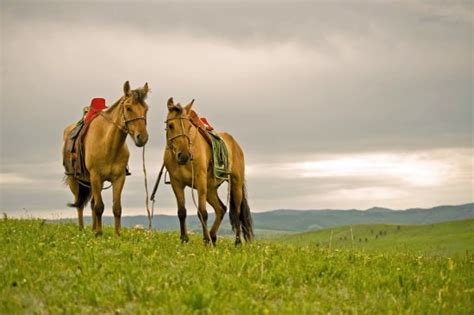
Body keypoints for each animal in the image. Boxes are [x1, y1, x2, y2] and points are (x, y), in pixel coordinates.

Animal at [62, 81, 149, 237]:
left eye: (146, 109)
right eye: (128, 107)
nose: (142, 138)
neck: (108, 144)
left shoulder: (119, 178)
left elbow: (116, 208)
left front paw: (117, 234)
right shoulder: (96, 177)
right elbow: (99, 207)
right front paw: (99, 234)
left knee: (91, 203)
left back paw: (93, 228)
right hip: (75, 180)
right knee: (79, 204)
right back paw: (82, 229)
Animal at [164, 97, 254, 246]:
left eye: (189, 126)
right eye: (171, 125)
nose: (184, 155)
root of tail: (236, 144)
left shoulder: (200, 181)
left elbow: (202, 212)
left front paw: (205, 241)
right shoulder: (176, 183)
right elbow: (181, 212)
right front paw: (184, 240)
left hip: (235, 184)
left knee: (236, 212)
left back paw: (236, 242)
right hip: (210, 189)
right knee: (221, 209)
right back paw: (213, 237)